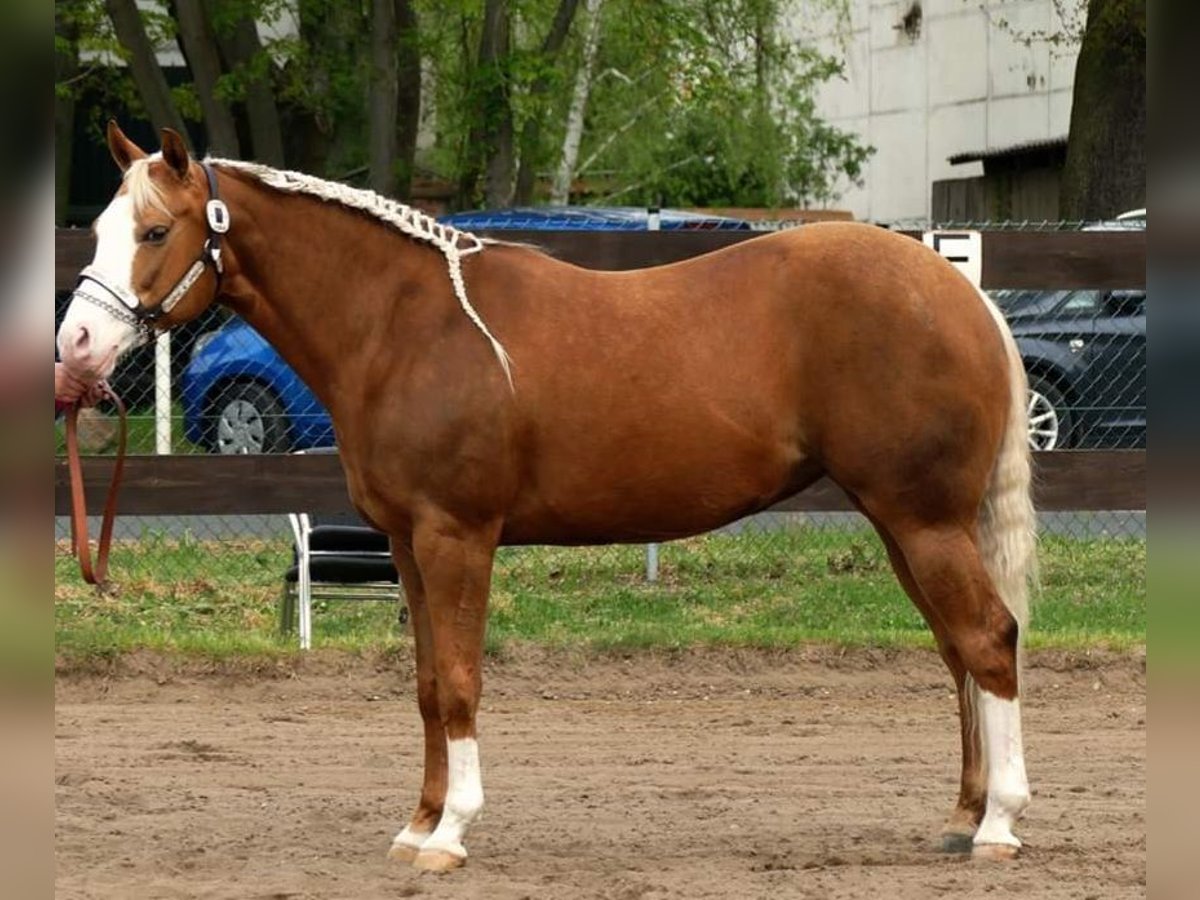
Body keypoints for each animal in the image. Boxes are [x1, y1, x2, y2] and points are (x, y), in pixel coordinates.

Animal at [56, 125, 1036, 873]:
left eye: (154, 232)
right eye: (101, 226)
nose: (75, 348)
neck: (404, 325)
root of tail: (962, 294)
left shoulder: (457, 537)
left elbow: (459, 683)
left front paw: (450, 835)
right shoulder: (407, 545)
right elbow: (425, 686)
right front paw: (416, 824)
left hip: (922, 520)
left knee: (989, 641)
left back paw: (998, 824)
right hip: (906, 526)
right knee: (958, 655)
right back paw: (962, 817)